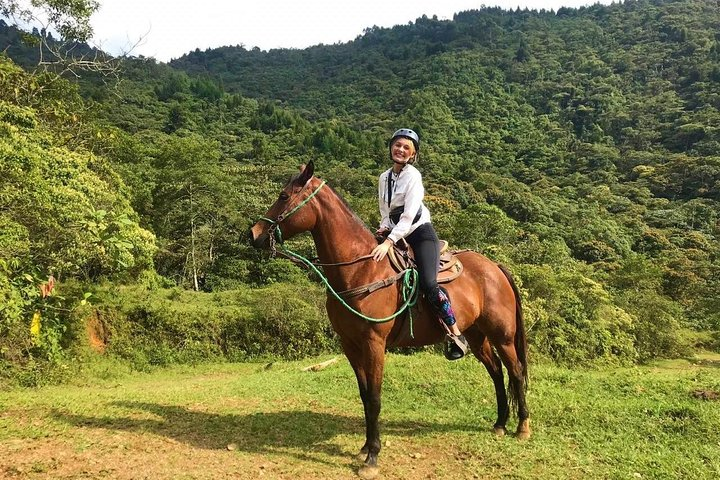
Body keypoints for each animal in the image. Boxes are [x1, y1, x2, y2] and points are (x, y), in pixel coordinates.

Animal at [252, 162, 528, 480]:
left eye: (284, 196)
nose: (253, 234)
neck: (361, 270)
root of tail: (494, 267)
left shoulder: (374, 343)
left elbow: (374, 397)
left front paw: (372, 456)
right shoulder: (350, 345)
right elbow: (363, 394)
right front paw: (364, 448)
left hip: (502, 335)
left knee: (515, 371)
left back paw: (522, 427)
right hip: (476, 335)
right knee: (495, 372)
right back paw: (499, 424)